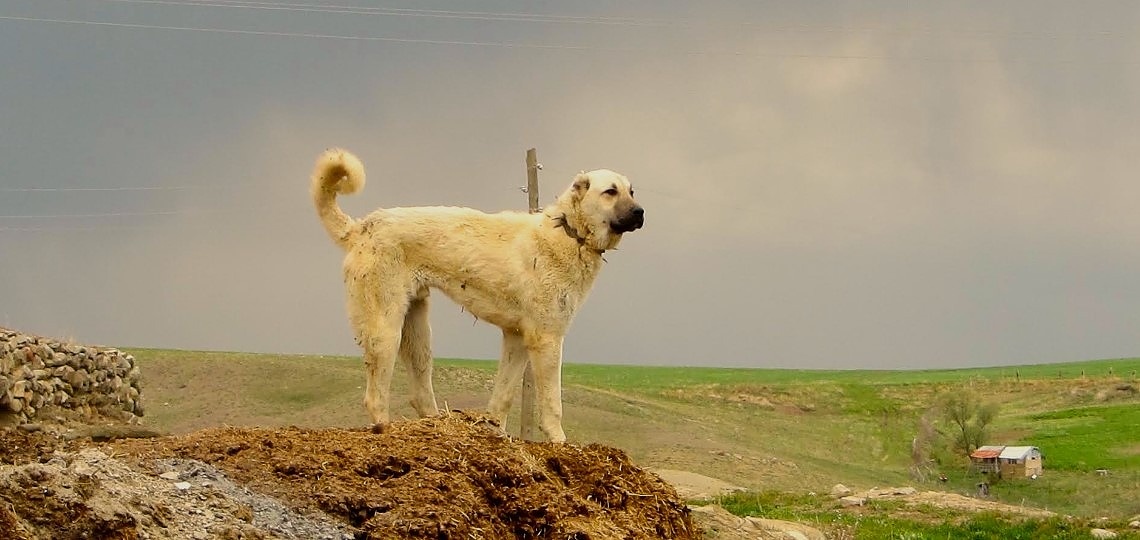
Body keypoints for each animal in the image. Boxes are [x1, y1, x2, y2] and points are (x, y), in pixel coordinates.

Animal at [312, 145, 647, 439]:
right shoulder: (547, 339)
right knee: (375, 397)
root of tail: (363, 227)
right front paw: (559, 442)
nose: (641, 213)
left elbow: (503, 395)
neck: (568, 232)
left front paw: (493, 432)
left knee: (419, 393)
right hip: (385, 331)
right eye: (610, 192)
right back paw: (387, 431)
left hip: (417, 332)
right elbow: (553, 403)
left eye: (632, 191)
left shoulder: (517, 339)